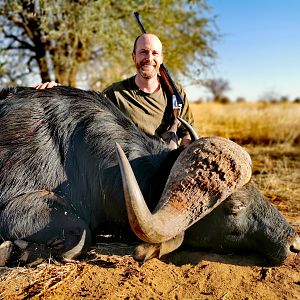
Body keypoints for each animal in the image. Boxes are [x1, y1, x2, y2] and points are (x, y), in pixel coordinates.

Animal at [0, 85, 298, 266]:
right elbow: (81, 234)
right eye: (235, 206)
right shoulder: (14, 207)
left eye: (258, 192)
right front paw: (20, 250)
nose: (294, 243)